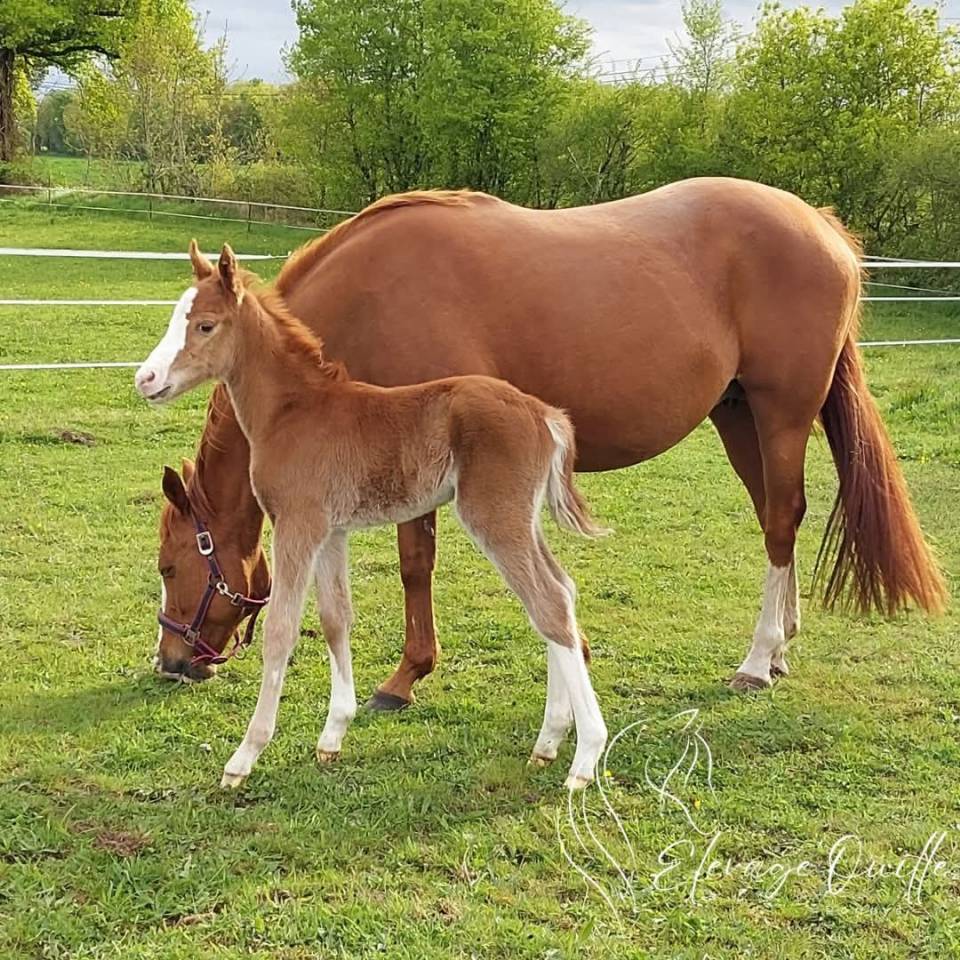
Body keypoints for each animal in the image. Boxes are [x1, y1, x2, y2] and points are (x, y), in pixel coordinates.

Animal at [136, 243, 608, 790]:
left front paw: (243, 758)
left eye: (206, 325)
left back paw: (584, 759)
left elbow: (281, 630)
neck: (293, 412)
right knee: (560, 593)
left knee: (548, 602)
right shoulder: (332, 531)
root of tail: (545, 414)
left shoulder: (298, 524)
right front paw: (332, 736)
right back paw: (548, 743)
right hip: (521, 519)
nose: (145, 378)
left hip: (494, 516)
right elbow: (335, 618)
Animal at [149, 178, 945, 699]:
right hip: (738, 414)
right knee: (779, 520)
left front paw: (406, 676)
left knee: (781, 518)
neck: (369, 293)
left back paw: (756, 661)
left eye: (168, 566)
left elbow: (415, 564)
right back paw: (781, 644)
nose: (171, 661)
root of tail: (823, 225)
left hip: (782, 412)